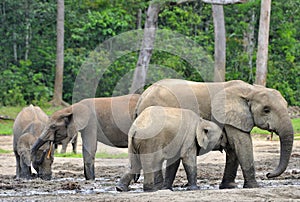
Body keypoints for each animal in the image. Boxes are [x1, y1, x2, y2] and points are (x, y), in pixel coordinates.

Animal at [135, 78, 292, 188]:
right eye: (266, 110)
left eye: (286, 105)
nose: (268, 174)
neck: (250, 90)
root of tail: (141, 97)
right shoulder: (228, 116)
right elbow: (242, 143)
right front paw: (254, 187)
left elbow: (233, 147)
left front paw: (228, 187)